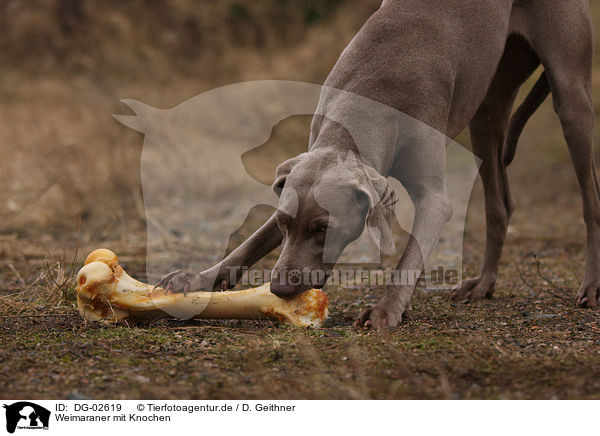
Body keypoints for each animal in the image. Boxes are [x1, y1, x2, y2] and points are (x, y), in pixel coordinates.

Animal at [157, 0, 596, 328]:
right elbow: (248, 244)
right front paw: (195, 278)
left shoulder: (434, 198)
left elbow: (410, 256)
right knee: (499, 202)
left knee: (590, 198)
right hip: (487, 109)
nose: (279, 288)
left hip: (571, 96)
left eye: (324, 227)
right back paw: (484, 283)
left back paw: (590, 286)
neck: (370, 95)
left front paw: (386, 310)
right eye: (283, 224)